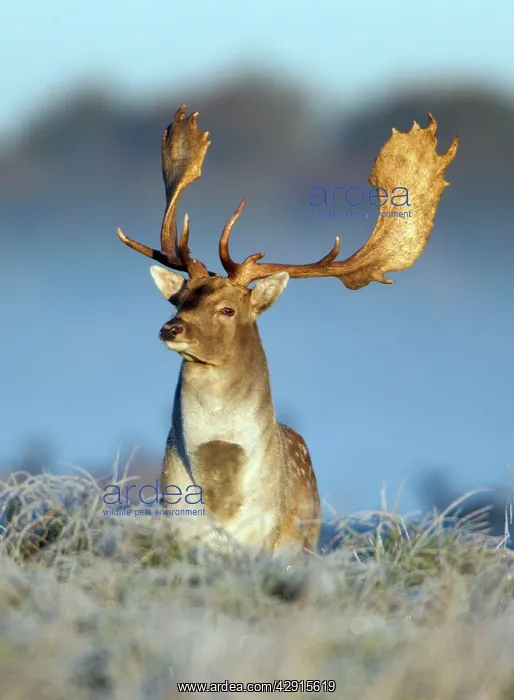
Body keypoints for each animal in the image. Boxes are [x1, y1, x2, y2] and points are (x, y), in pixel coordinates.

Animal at [117, 105, 458, 555]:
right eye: (179, 299)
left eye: (227, 309)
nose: (171, 329)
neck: (221, 493)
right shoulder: (180, 528)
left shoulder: (264, 539)